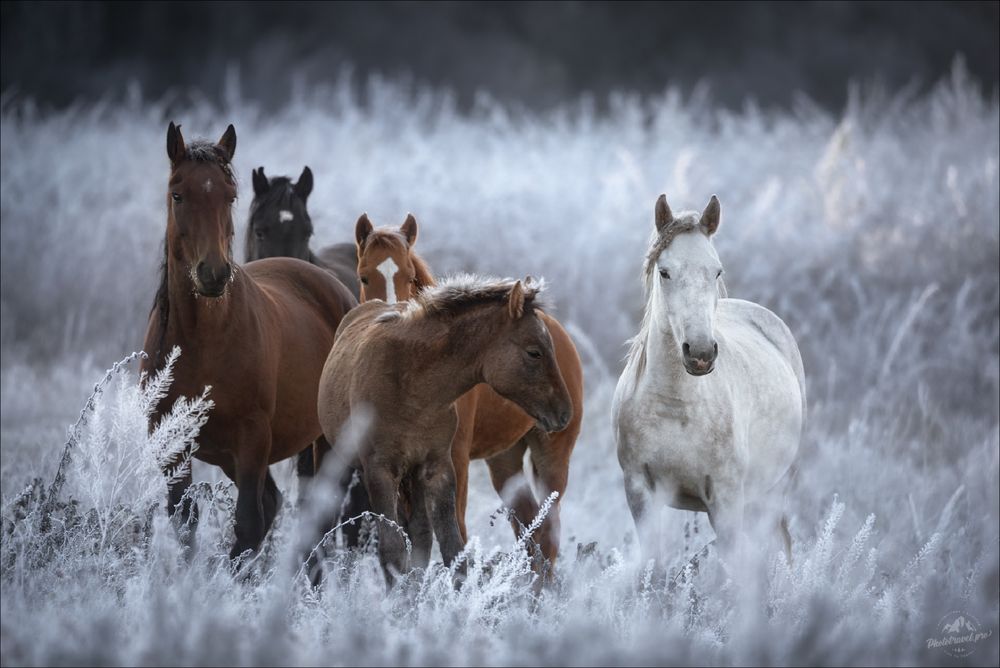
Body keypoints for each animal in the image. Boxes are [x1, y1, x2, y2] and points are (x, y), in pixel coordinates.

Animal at [142, 122, 356, 560]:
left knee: (320, 515)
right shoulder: (173, 445)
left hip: (324, 441)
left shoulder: (252, 440)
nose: (212, 273)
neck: (202, 341)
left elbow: (247, 526)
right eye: (178, 193)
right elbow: (185, 524)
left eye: (230, 195)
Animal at [316, 274, 576, 580]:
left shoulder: (436, 467)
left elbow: (452, 548)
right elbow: (393, 550)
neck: (413, 386)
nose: (564, 412)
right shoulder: (380, 471)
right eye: (534, 352)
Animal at [354, 217, 584, 572]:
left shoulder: (454, 459)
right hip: (505, 460)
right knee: (529, 526)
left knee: (548, 533)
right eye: (364, 275)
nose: (389, 314)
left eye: (409, 275)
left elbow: (456, 531)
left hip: (553, 456)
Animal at [608, 193, 804, 564]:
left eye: (717, 270)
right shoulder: (640, 493)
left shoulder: (725, 501)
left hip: (773, 492)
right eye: (664, 272)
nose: (700, 353)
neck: (675, 406)